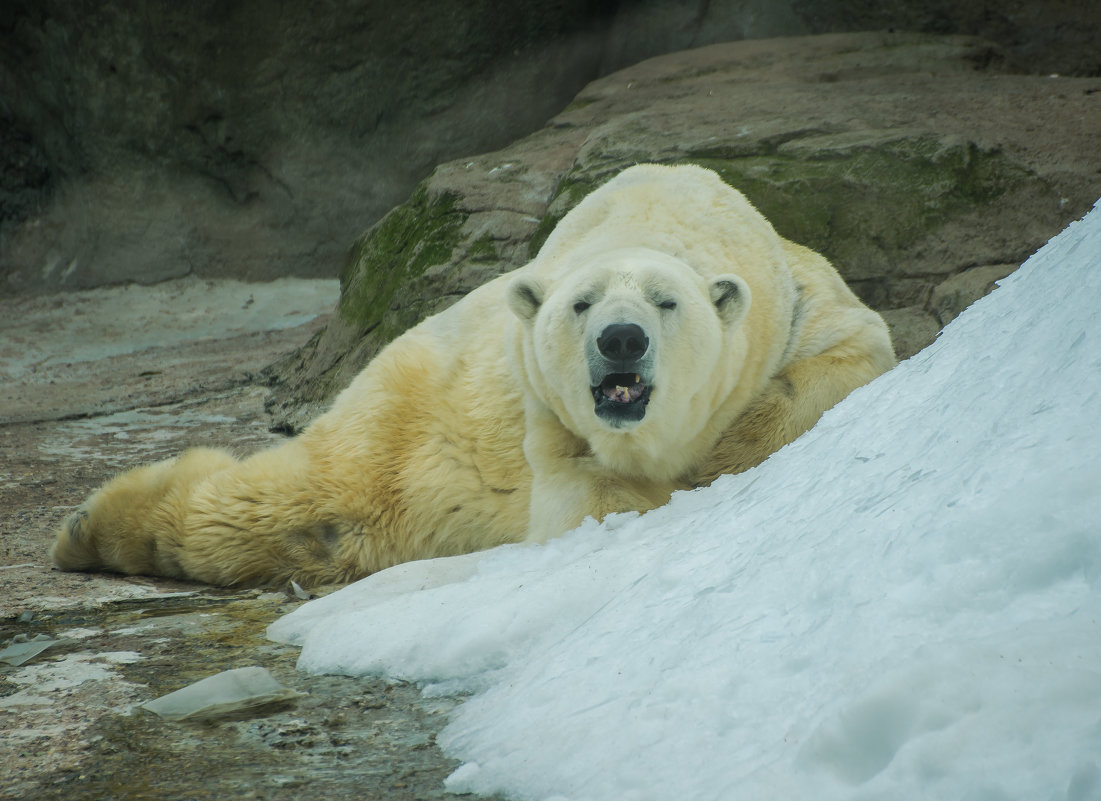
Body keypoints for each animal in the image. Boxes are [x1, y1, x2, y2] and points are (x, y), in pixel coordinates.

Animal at [49, 163, 894, 589]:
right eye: (580, 304)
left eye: (666, 300)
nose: (620, 341)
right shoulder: (545, 414)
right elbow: (584, 505)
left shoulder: (794, 301)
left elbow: (852, 355)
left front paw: (721, 454)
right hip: (406, 417)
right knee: (282, 504)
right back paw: (86, 527)